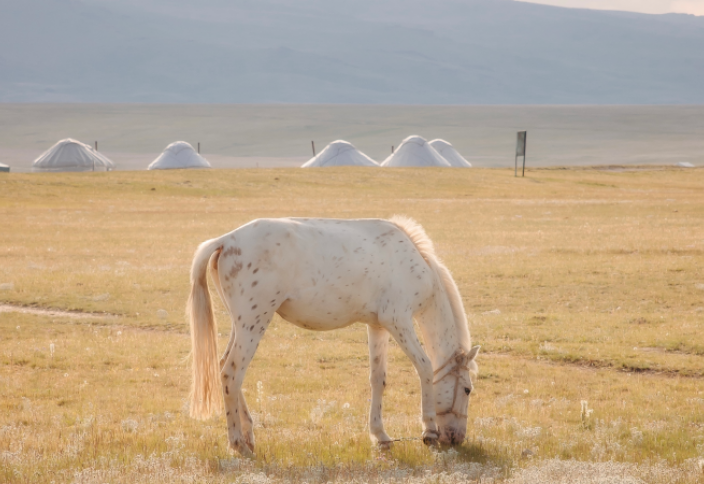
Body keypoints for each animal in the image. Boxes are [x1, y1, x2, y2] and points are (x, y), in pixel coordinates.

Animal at [187, 217, 478, 456]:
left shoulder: (378, 327)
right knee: (231, 373)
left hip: (242, 325)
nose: (456, 439)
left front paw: (380, 436)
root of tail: (226, 241)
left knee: (225, 367)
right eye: (467, 389)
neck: (414, 264)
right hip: (253, 323)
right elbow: (425, 367)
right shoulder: (399, 322)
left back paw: (248, 436)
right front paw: (429, 431)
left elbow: (378, 379)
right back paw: (238, 443)